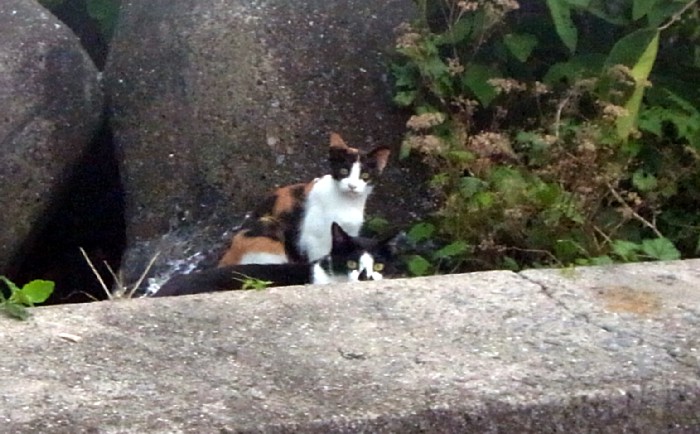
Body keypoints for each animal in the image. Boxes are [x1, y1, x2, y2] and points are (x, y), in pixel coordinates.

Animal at [218, 132, 391, 266]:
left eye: (365, 175)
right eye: (343, 171)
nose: (352, 186)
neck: (347, 204)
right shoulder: (315, 240)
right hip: (267, 229)